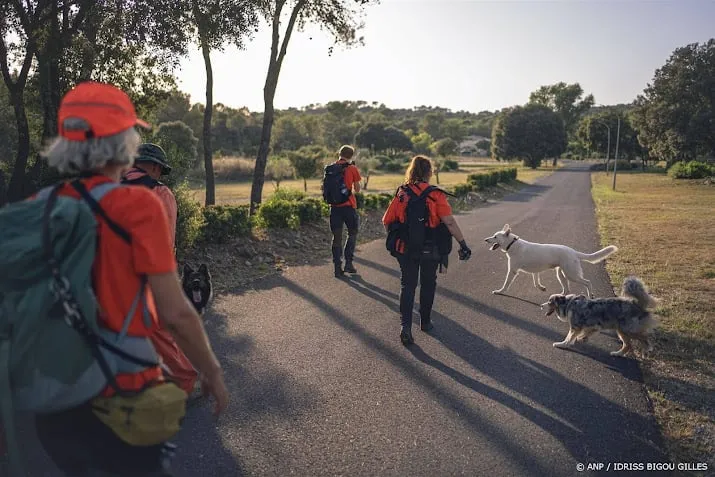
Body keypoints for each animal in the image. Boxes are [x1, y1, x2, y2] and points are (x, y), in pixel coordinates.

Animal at [484, 224, 620, 298]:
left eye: (495, 237)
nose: (485, 239)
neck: (513, 244)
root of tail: (573, 251)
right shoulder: (535, 272)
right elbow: (536, 282)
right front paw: (541, 288)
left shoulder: (512, 271)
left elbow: (506, 284)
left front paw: (500, 291)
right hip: (561, 274)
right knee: (567, 290)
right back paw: (559, 297)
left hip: (571, 275)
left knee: (587, 283)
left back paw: (590, 295)